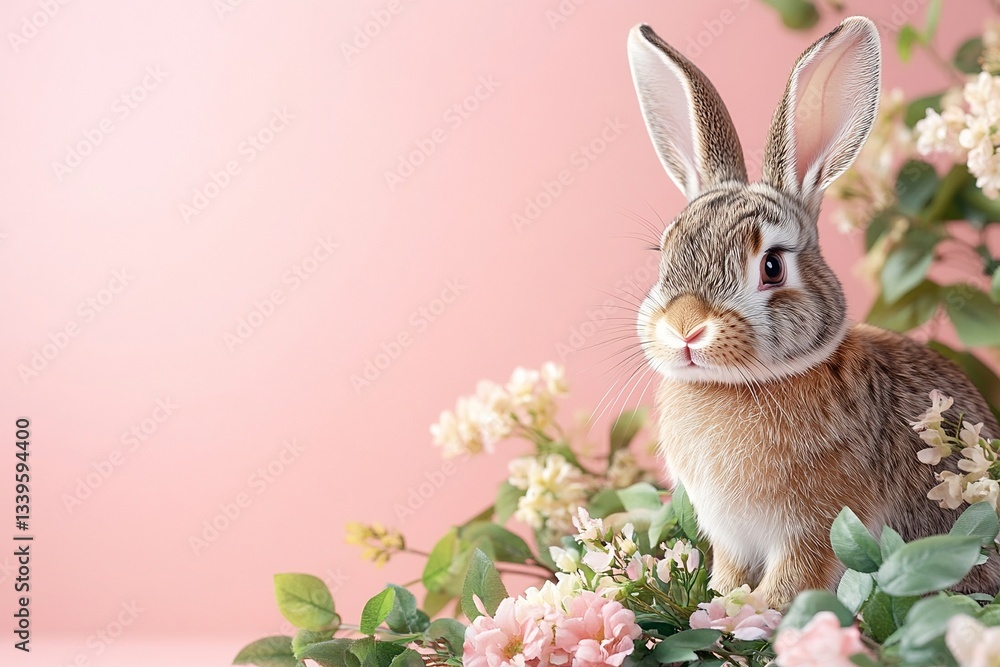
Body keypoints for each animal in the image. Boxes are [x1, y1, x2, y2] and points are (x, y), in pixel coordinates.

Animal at [627, 16, 1000, 608]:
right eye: (665, 252)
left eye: (772, 266)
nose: (685, 329)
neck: (739, 385)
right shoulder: (730, 537)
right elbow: (730, 572)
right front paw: (720, 602)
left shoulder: (814, 528)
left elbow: (795, 578)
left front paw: (754, 610)